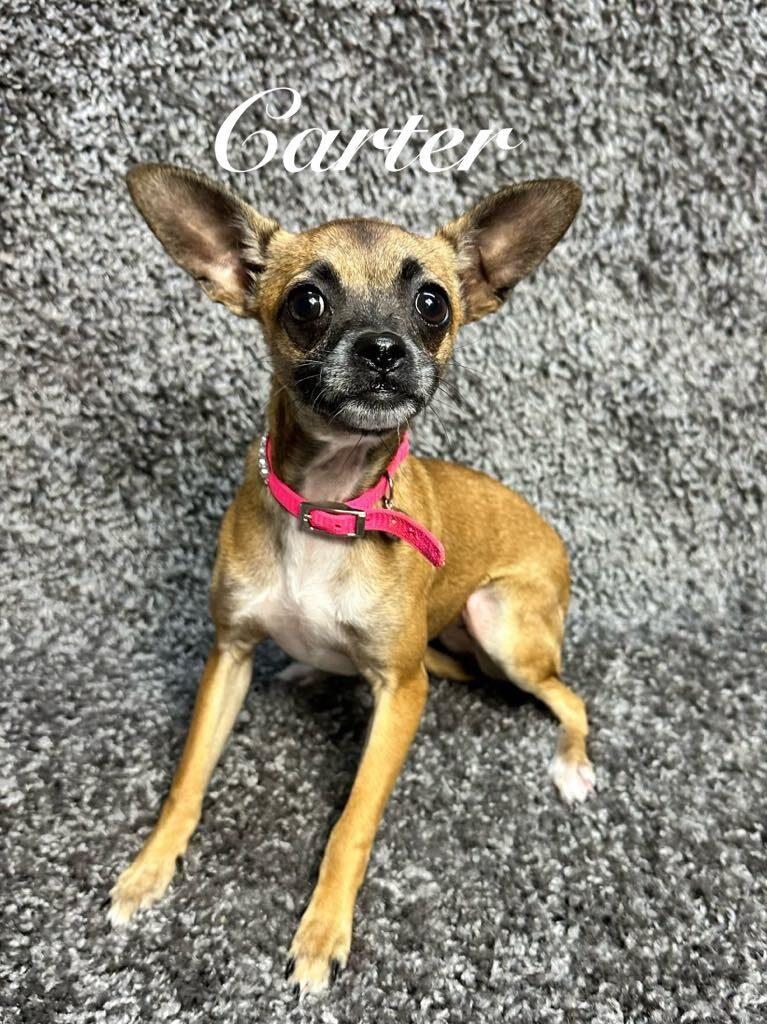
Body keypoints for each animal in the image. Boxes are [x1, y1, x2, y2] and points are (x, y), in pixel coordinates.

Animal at [109, 164, 592, 995]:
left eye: (432, 303)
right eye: (307, 302)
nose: (383, 350)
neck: (328, 508)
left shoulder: (401, 691)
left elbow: (353, 821)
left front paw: (323, 930)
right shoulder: (229, 653)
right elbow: (187, 781)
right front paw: (148, 870)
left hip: (501, 623)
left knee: (569, 697)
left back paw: (572, 765)